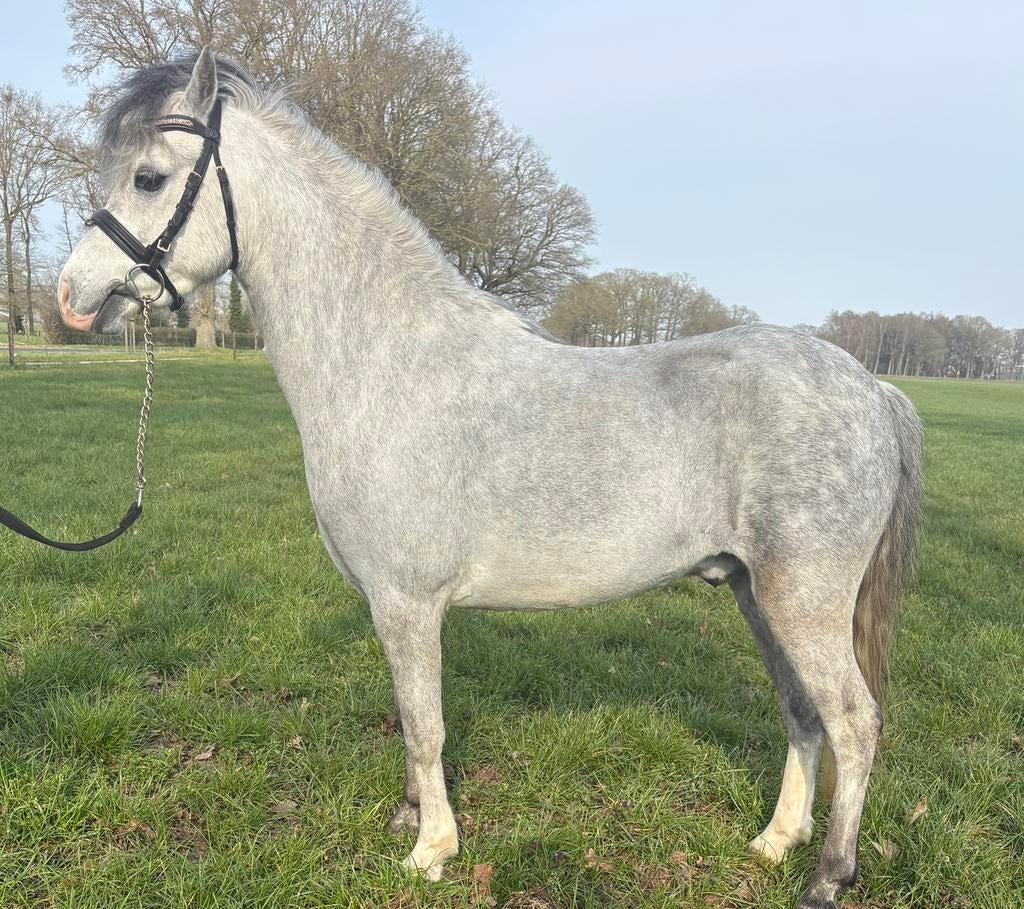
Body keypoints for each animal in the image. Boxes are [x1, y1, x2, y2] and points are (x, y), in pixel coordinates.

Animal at [58, 48, 922, 909]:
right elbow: (410, 717)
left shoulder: (408, 602)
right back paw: (776, 841)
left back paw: (827, 875)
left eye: (147, 178)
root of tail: (874, 389)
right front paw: (410, 818)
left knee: (855, 720)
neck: (385, 363)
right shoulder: (392, 607)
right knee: (804, 712)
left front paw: (431, 849)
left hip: (802, 600)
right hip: (755, 592)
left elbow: (425, 723)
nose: (72, 295)